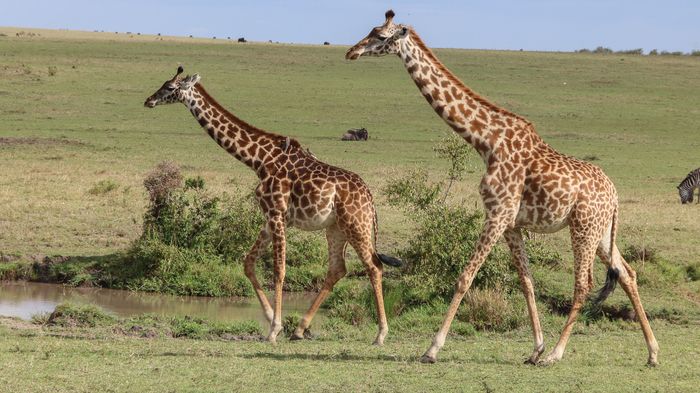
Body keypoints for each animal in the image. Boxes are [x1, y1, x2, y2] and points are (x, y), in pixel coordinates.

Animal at [144, 66, 402, 344]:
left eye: (170, 87)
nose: (149, 100)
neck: (259, 160)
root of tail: (370, 198)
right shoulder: (270, 216)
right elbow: (248, 262)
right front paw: (270, 319)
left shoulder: (277, 213)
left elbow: (279, 270)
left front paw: (274, 329)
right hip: (335, 228)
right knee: (337, 270)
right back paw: (300, 329)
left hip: (357, 225)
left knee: (374, 267)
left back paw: (380, 334)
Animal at [348, 10, 660, 366]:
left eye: (380, 36)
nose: (352, 52)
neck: (486, 142)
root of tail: (615, 194)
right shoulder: (511, 223)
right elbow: (526, 281)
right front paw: (535, 348)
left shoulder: (497, 213)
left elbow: (465, 277)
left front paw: (432, 348)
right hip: (603, 232)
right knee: (627, 273)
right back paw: (652, 352)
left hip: (584, 227)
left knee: (584, 284)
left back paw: (557, 353)